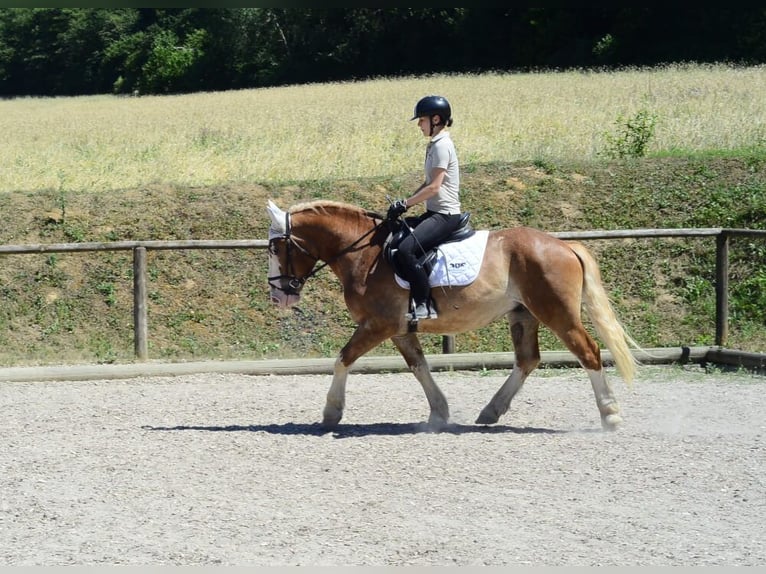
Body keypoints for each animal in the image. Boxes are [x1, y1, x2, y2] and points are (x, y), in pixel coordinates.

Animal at [266, 199, 638, 431]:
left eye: (275, 247)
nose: (278, 295)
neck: (364, 254)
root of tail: (564, 245)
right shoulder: (399, 328)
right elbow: (419, 367)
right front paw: (439, 413)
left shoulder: (379, 324)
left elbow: (343, 359)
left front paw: (331, 411)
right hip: (523, 314)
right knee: (527, 360)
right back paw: (490, 412)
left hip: (556, 312)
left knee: (588, 352)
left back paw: (611, 416)